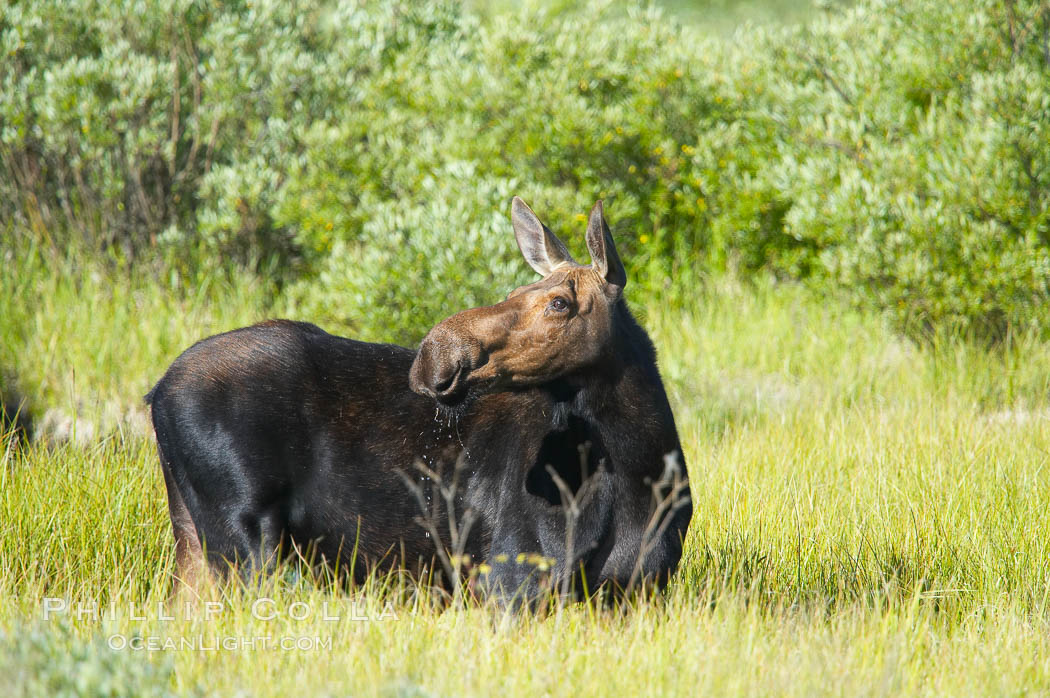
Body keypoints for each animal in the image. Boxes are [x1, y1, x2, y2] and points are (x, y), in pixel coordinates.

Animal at [145, 197, 688, 604]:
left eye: (559, 302)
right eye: (517, 288)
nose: (434, 356)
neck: (639, 471)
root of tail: (157, 393)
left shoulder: (636, 593)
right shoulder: (507, 578)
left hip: (193, 536)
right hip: (245, 537)